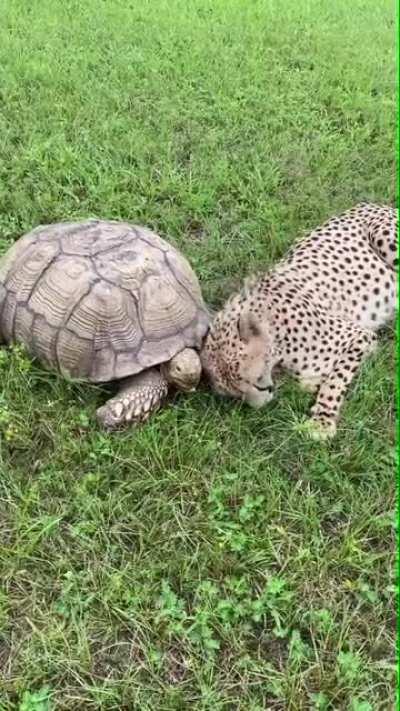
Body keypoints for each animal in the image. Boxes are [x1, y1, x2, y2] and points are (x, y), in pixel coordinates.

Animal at [201, 202, 397, 440]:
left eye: (253, 380)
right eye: (237, 394)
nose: (262, 402)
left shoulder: (359, 336)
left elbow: (335, 380)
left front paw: (322, 421)